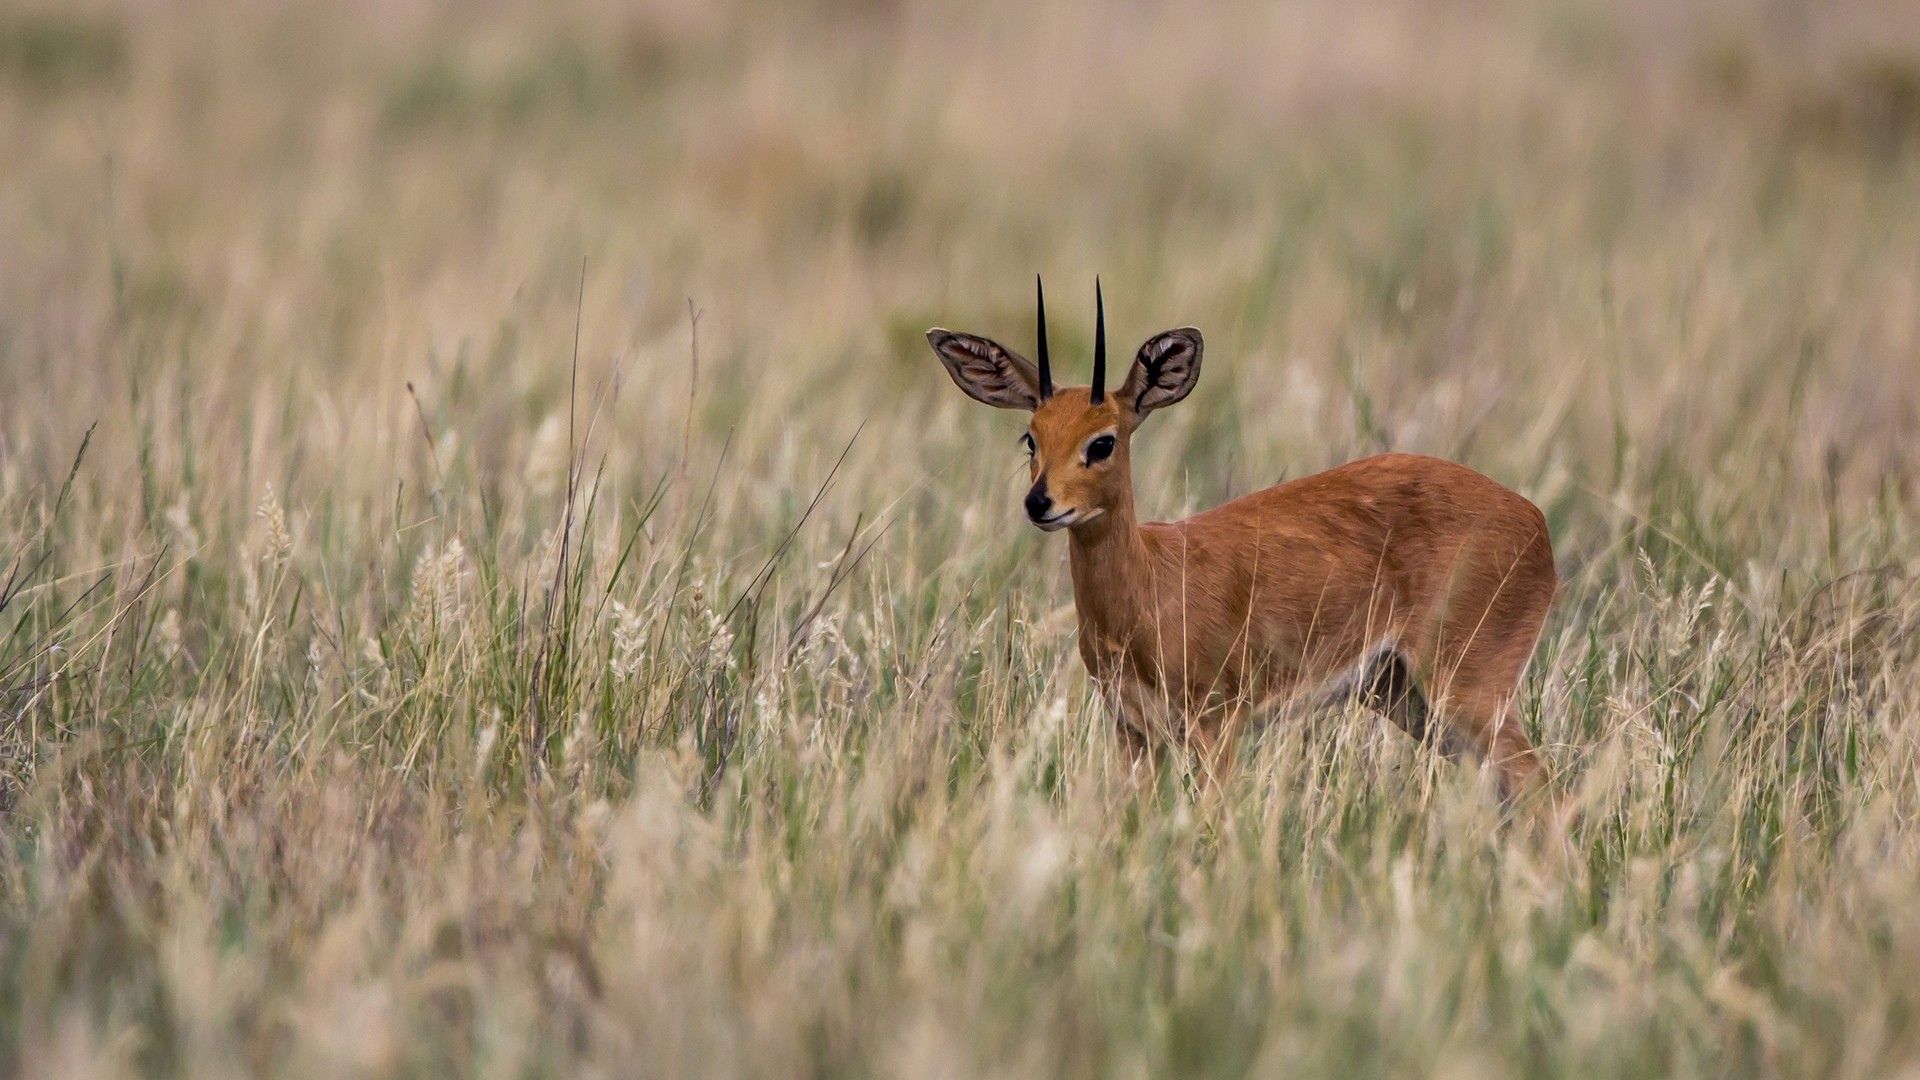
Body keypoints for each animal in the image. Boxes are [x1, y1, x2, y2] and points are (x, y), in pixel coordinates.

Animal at [929, 276, 1559, 799]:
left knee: (1538, 780)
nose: (1040, 503)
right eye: (1030, 437)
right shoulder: (1133, 732)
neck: (1150, 586)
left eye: (1102, 441)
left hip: (1466, 687)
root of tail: (1536, 521)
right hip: (1408, 696)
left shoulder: (1217, 727)